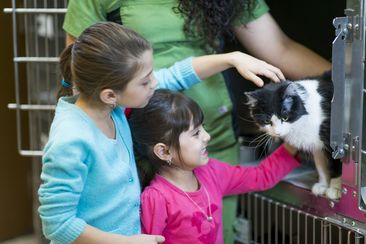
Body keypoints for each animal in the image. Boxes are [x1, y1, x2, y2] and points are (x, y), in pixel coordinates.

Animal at [244, 71, 342, 199]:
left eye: (285, 118)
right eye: (267, 121)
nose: (278, 133)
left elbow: (336, 166)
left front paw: (335, 188)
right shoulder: (317, 145)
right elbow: (322, 167)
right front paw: (323, 185)